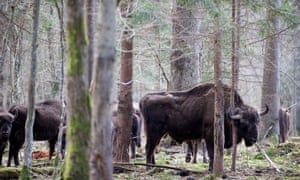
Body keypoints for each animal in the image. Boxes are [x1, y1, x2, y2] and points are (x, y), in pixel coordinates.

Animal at [139, 82, 268, 171]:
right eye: (244, 123)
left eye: (257, 121)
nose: (253, 139)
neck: (226, 112)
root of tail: (144, 99)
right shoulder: (210, 136)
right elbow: (212, 153)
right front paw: (211, 169)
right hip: (154, 132)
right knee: (149, 148)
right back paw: (148, 168)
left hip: (160, 133)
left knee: (153, 148)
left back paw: (154, 167)